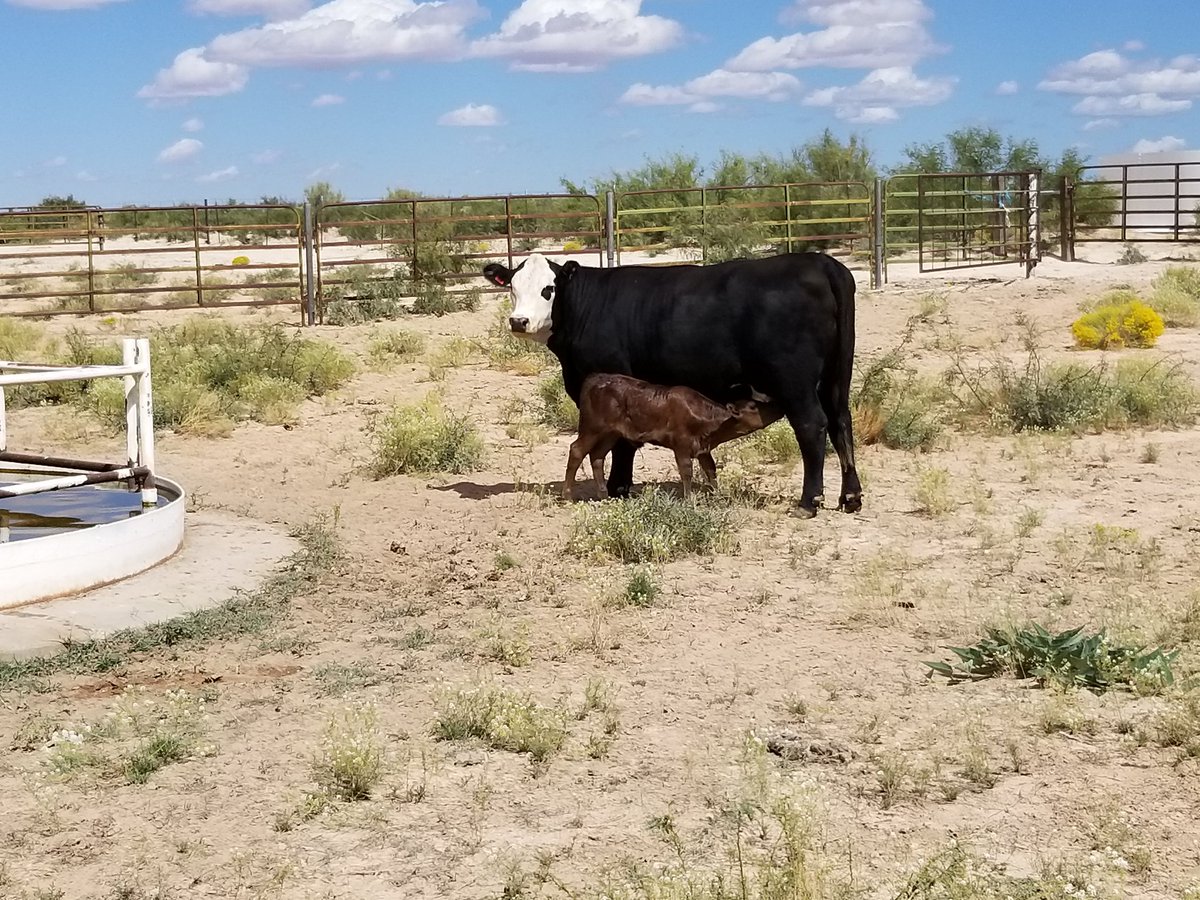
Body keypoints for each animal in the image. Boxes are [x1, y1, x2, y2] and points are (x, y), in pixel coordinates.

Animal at [559, 372, 777, 501]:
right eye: (753, 406)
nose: (777, 404)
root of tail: (595, 378)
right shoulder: (681, 446)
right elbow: (686, 472)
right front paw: (689, 499)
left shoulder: (702, 449)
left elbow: (711, 470)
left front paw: (718, 494)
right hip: (592, 428)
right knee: (577, 450)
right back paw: (568, 495)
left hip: (611, 434)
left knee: (597, 456)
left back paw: (604, 495)